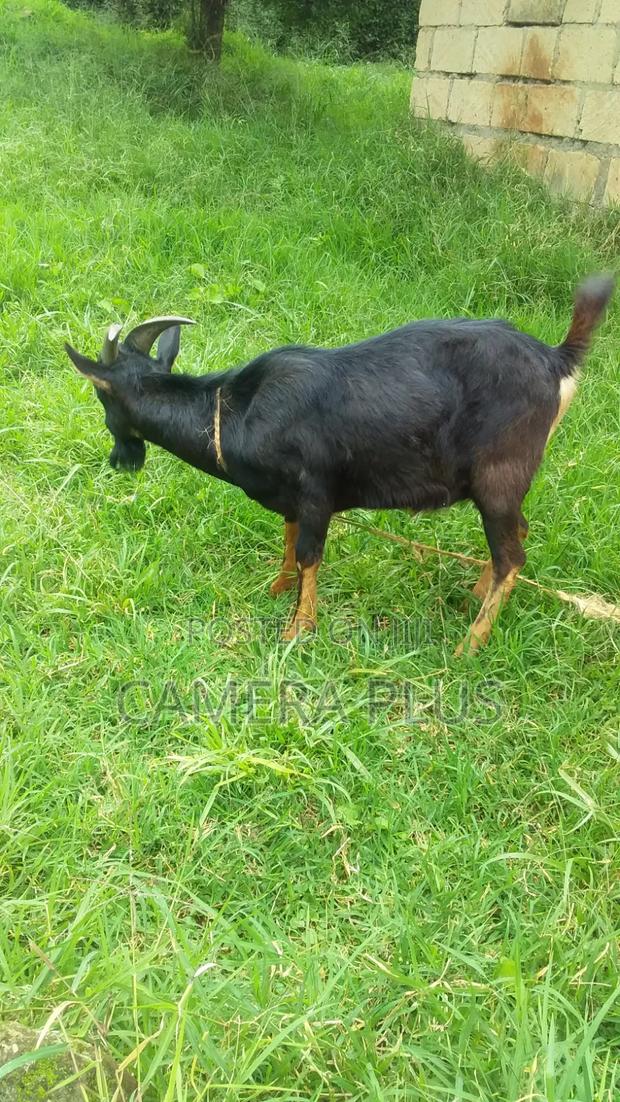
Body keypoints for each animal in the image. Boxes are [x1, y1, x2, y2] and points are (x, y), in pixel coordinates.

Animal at [65, 274, 614, 653]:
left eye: (102, 396)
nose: (119, 460)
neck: (235, 409)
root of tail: (556, 360)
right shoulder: (291, 497)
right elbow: (288, 538)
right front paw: (278, 586)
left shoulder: (316, 491)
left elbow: (311, 552)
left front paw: (297, 628)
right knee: (517, 534)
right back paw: (474, 597)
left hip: (499, 474)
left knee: (511, 555)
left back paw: (469, 645)